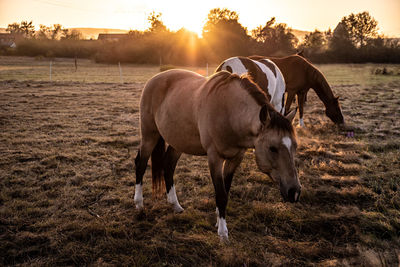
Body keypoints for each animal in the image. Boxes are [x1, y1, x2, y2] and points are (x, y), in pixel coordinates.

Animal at [134, 70, 300, 242]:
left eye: (295, 146)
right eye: (272, 148)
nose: (294, 192)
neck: (230, 112)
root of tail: (154, 79)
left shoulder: (236, 158)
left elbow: (225, 190)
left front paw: (218, 218)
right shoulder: (214, 158)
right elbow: (221, 194)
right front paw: (223, 233)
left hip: (178, 142)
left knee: (168, 166)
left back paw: (175, 205)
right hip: (149, 135)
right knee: (141, 164)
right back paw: (139, 203)